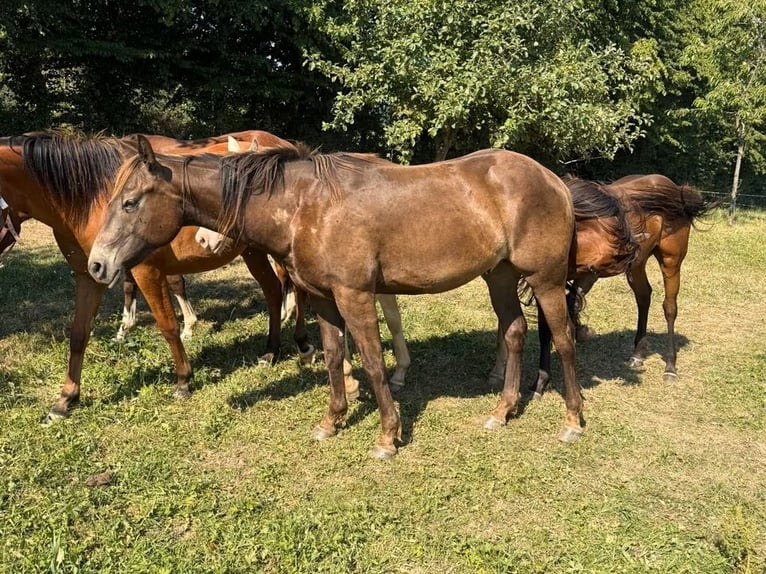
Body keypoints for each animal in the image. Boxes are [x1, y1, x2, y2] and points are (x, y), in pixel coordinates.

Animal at [0, 130, 312, 424]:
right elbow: (78, 335)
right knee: (273, 290)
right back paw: (271, 350)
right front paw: (65, 400)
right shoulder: (89, 275)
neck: (90, 198)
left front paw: (184, 380)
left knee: (290, 289)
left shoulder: (145, 271)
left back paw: (295, 344)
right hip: (253, 250)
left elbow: (168, 325)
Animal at [88, 135, 582, 459]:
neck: (308, 206)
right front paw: (332, 420)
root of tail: (553, 180)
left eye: (130, 202)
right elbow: (331, 357)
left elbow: (372, 361)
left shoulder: (355, 296)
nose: (97, 265)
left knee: (562, 340)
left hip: (545, 280)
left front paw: (387, 436)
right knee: (514, 332)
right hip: (499, 277)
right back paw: (503, 409)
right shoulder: (324, 300)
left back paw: (572, 421)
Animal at [562, 174, 712, 381]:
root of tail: (674, 188)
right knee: (643, 297)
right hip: (636, 266)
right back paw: (638, 354)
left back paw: (670, 366)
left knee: (670, 307)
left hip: (671, 262)